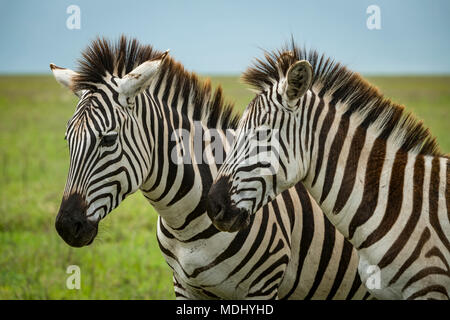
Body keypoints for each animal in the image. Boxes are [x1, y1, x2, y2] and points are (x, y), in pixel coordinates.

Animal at [50, 37, 370, 300]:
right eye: (67, 140)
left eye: (108, 139)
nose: (67, 226)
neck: (183, 224)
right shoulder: (183, 285)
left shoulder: (263, 285)